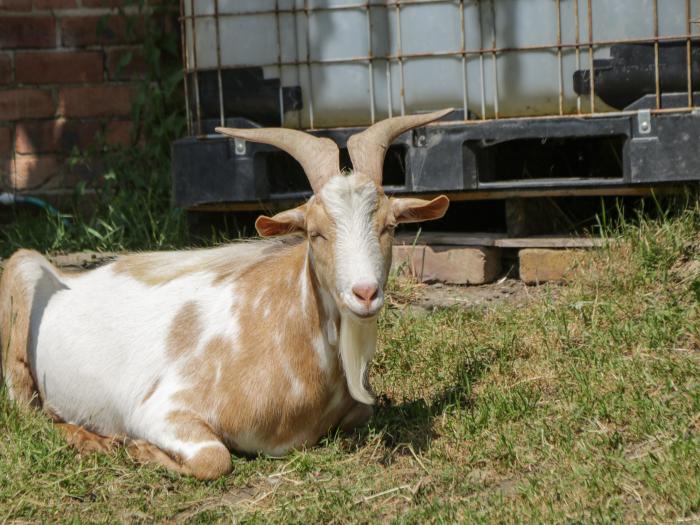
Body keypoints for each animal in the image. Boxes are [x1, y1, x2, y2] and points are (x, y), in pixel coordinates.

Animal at [0, 109, 452, 478]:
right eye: (315, 232)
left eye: (389, 227)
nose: (365, 293)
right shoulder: (160, 409)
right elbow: (214, 459)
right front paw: (137, 449)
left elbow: (363, 412)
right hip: (21, 274)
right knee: (29, 411)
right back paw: (88, 436)